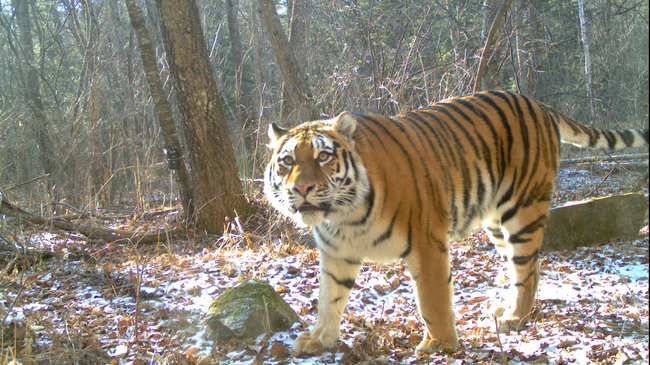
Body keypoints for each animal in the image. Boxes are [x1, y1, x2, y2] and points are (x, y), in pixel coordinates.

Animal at [264, 89, 648, 354]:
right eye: (287, 161)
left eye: (323, 157)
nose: (301, 188)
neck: (344, 217)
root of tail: (540, 104)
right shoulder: (336, 253)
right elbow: (329, 298)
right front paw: (319, 339)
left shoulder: (426, 241)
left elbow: (432, 299)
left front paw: (440, 344)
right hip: (495, 222)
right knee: (524, 268)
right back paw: (508, 309)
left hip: (523, 209)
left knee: (527, 268)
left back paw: (514, 318)